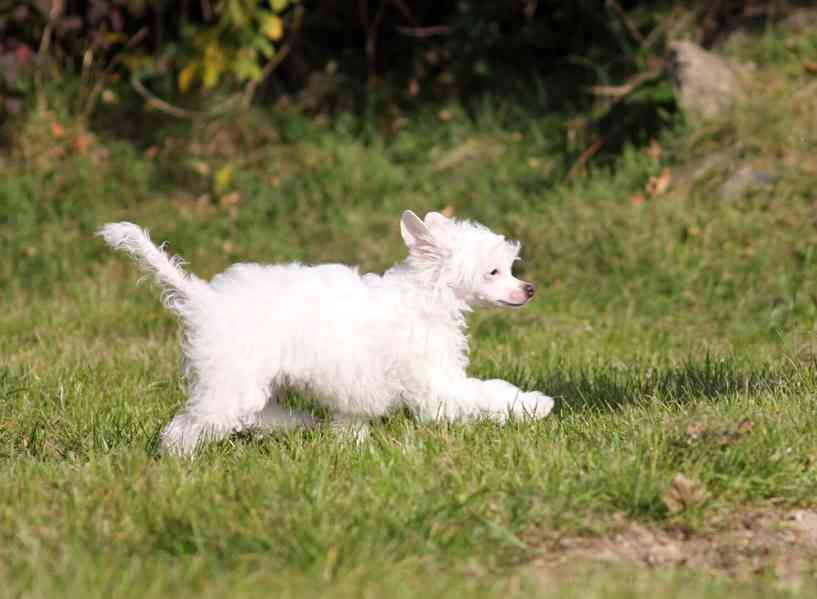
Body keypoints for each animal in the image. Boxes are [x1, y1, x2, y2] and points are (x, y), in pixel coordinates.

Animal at [99, 212, 552, 454]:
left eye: (508, 268)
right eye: (493, 272)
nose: (529, 289)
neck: (425, 296)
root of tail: (201, 300)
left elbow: (351, 420)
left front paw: (351, 444)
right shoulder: (436, 385)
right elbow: (487, 393)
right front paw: (535, 405)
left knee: (253, 415)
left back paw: (297, 422)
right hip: (230, 382)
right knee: (188, 428)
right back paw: (178, 464)